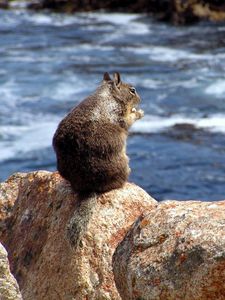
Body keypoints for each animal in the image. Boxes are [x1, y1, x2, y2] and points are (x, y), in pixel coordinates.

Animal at [52, 72, 144, 248]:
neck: (108, 94)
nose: (140, 99)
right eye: (133, 90)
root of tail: (90, 187)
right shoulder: (119, 114)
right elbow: (127, 120)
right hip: (123, 163)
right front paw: (138, 112)